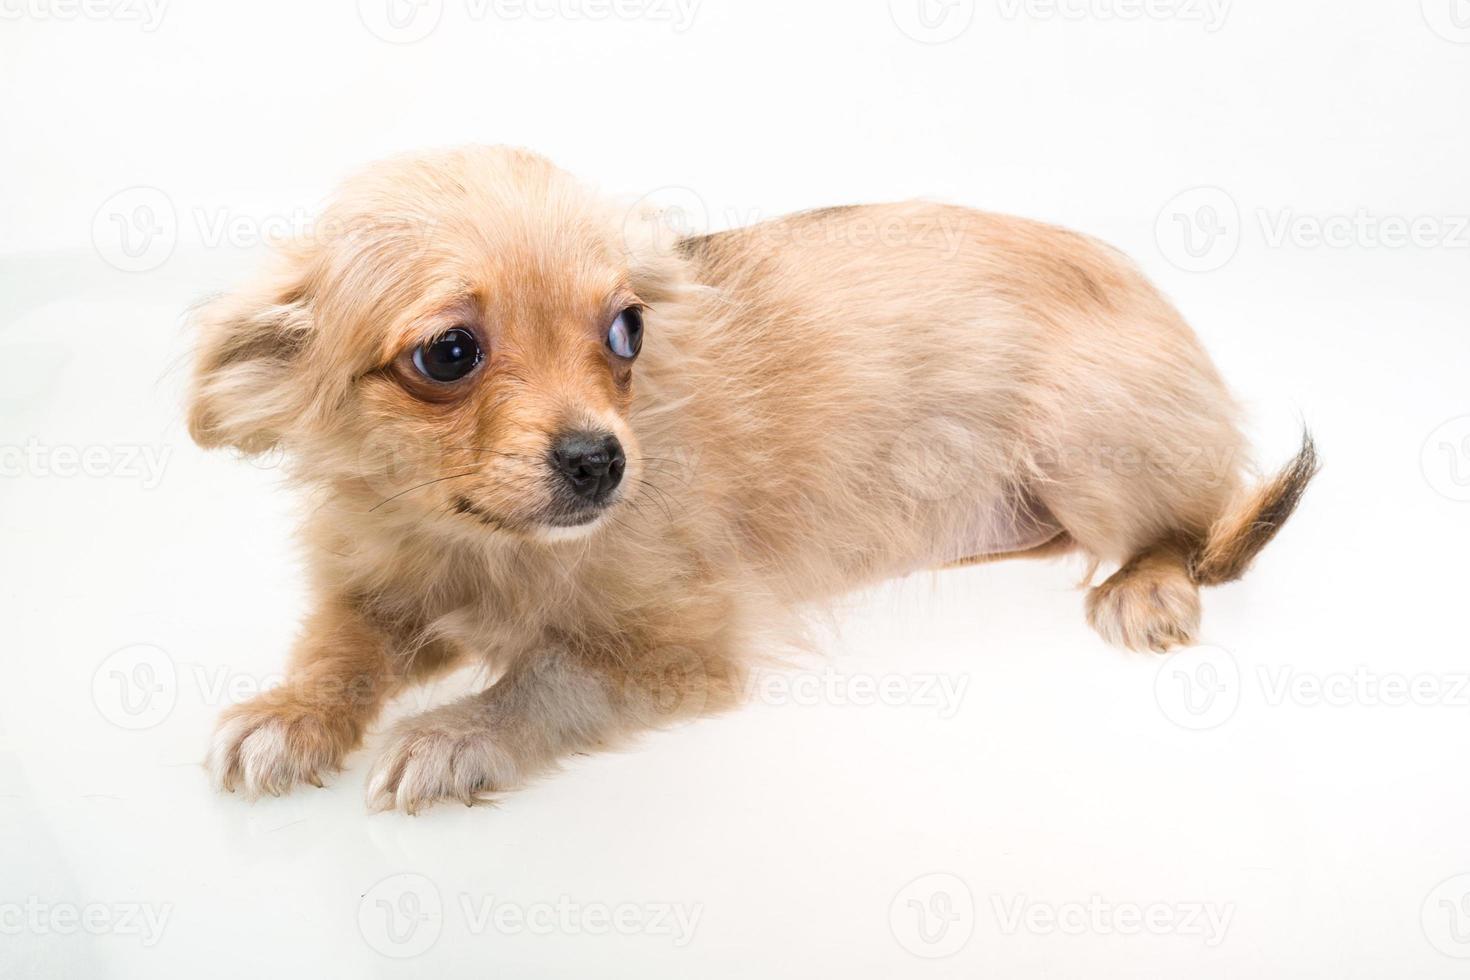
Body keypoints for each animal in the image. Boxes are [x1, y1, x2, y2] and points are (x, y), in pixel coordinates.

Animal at [186, 143, 1323, 811]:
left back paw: (1147, 582)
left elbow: (544, 676)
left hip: (1088, 442)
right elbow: (342, 646)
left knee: (1191, 526)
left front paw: (460, 732)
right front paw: (294, 711)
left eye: (626, 330)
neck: (474, 547)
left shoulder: (680, 647)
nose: (602, 462)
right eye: (449, 355)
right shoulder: (377, 581)